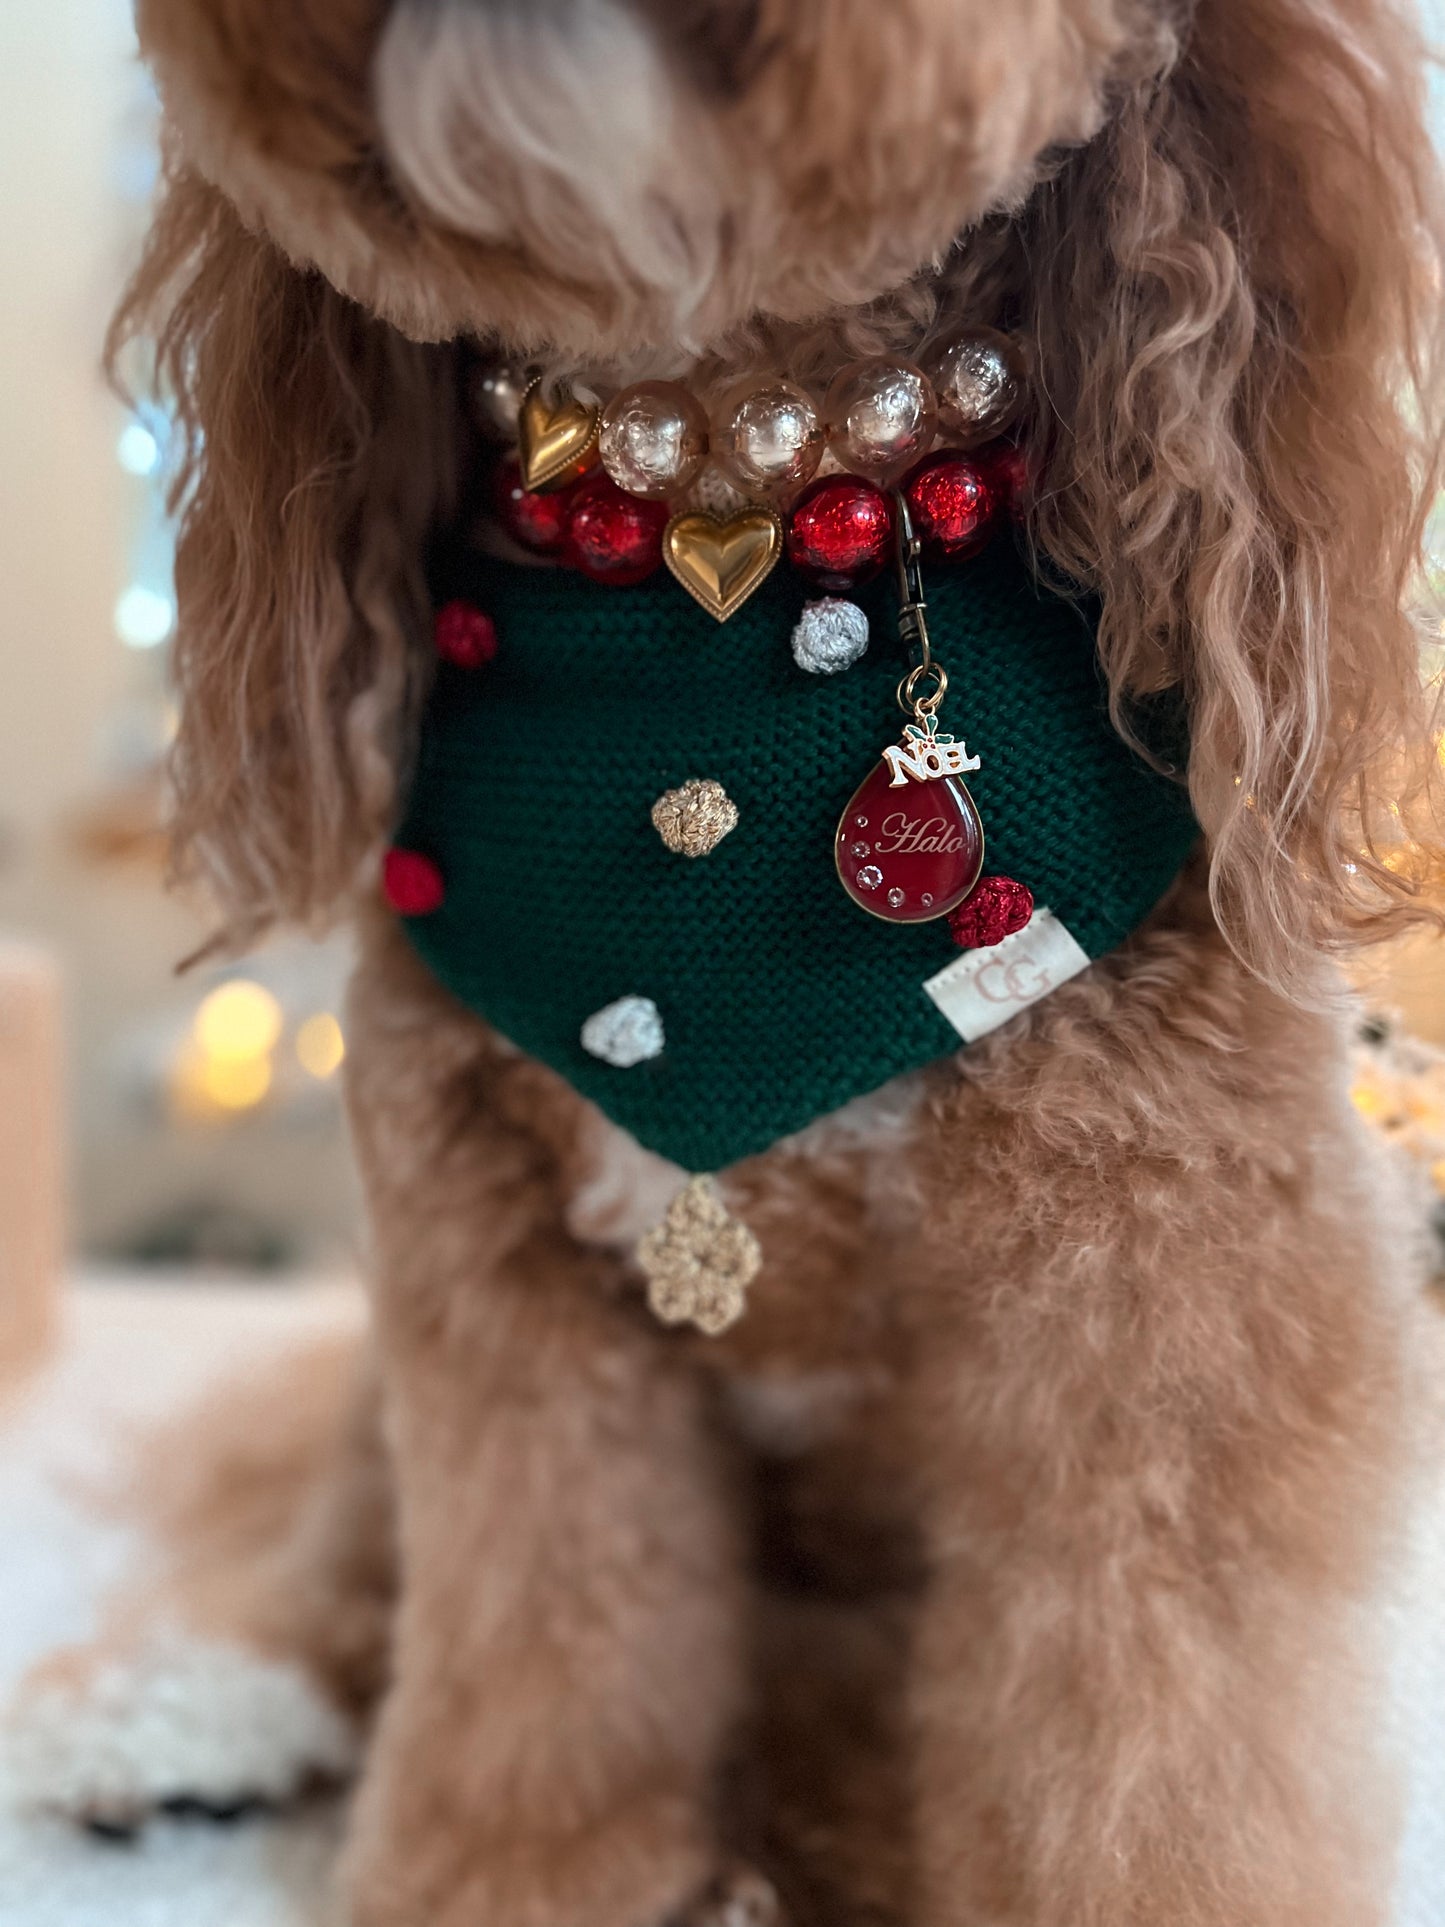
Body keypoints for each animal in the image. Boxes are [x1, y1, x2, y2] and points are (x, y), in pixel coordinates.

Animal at [11, 3, 1445, 1927]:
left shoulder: (1168, 1324)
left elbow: (1143, 1754)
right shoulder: (502, 1312)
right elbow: (536, 1664)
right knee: (331, 1534)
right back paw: (177, 1710)